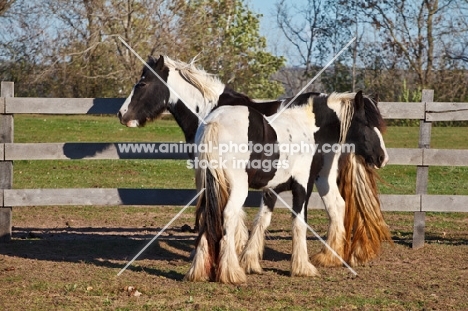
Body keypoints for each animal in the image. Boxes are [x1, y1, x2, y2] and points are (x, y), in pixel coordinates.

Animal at [186, 91, 388, 286]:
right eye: (366, 123)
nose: (382, 158)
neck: (310, 129)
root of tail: (215, 122)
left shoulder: (271, 190)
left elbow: (262, 220)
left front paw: (250, 262)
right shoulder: (302, 186)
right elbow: (299, 223)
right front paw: (302, 267)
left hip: (208, 187)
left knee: (205, 216)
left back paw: (200, 272)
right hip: (237, 188)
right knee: (228, 216)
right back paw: (231, 273)